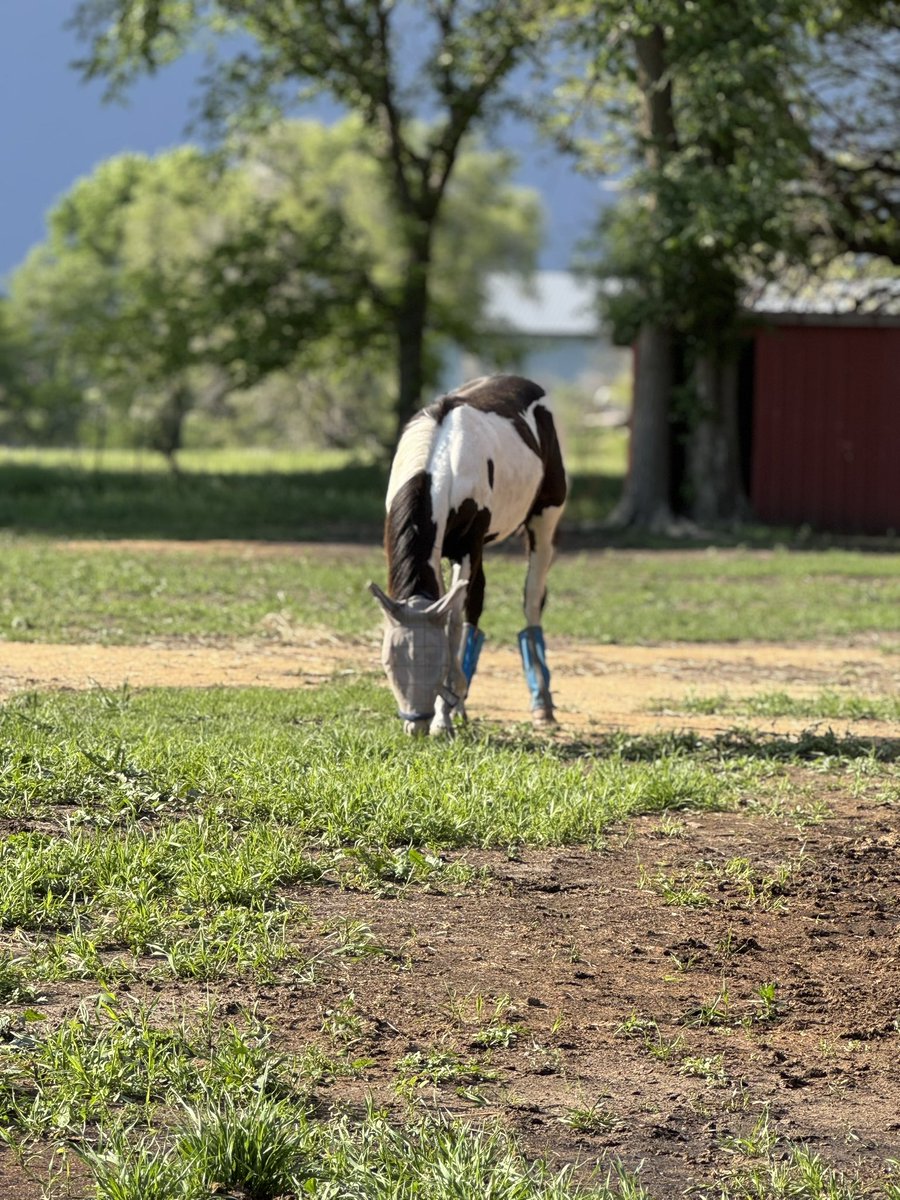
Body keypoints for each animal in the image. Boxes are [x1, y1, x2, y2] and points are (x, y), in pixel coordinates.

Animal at [368, 374, 567, 736]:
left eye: (436, 662)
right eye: (388, 663)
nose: (415, 725)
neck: (441, 458)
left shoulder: (467, 548)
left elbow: (453, 621)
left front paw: (443, 716)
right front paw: (452, 704)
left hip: (545, 519)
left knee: (532, 601)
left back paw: (542, 705)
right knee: (477, 604)